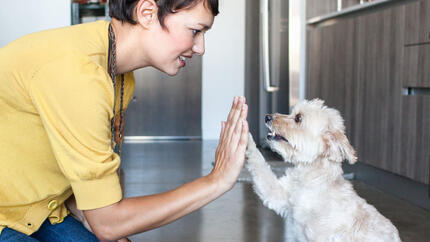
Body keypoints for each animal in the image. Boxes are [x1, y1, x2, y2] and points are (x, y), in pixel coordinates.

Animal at [247, 99, 402, 242]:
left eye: (298, 118)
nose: (267, 116)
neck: (312, 178)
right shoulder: (280, 194)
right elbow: (259, 163)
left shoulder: (320, 236)